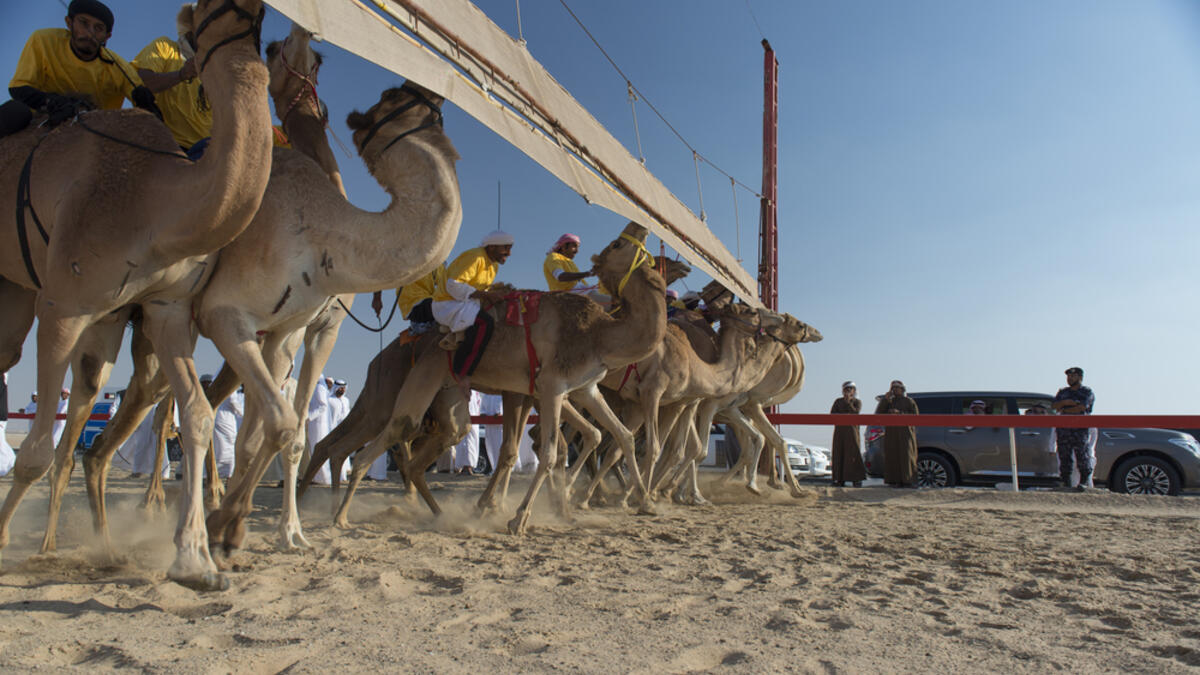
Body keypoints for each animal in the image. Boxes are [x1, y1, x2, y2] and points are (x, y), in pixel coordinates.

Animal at [0, 0, 272, 591]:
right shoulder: (60, 305)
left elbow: (196, 415)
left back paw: (98, 547)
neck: (154, 200)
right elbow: (33, 452)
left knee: (83, 406)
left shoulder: (166, 309)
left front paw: (197, 564)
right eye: (207, 11)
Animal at [321, 222, 670, 535]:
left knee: (430, 444)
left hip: (447, 391)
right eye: (617, 244)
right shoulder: (551, 386)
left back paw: (435, 513)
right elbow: (548, 452)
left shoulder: (585, 389)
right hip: (417, 378)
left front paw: (645, 503)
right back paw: (340, 516)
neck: (599, 334)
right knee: (389, 433)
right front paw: (518, 518)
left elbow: (621, 435)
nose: (641, 227)